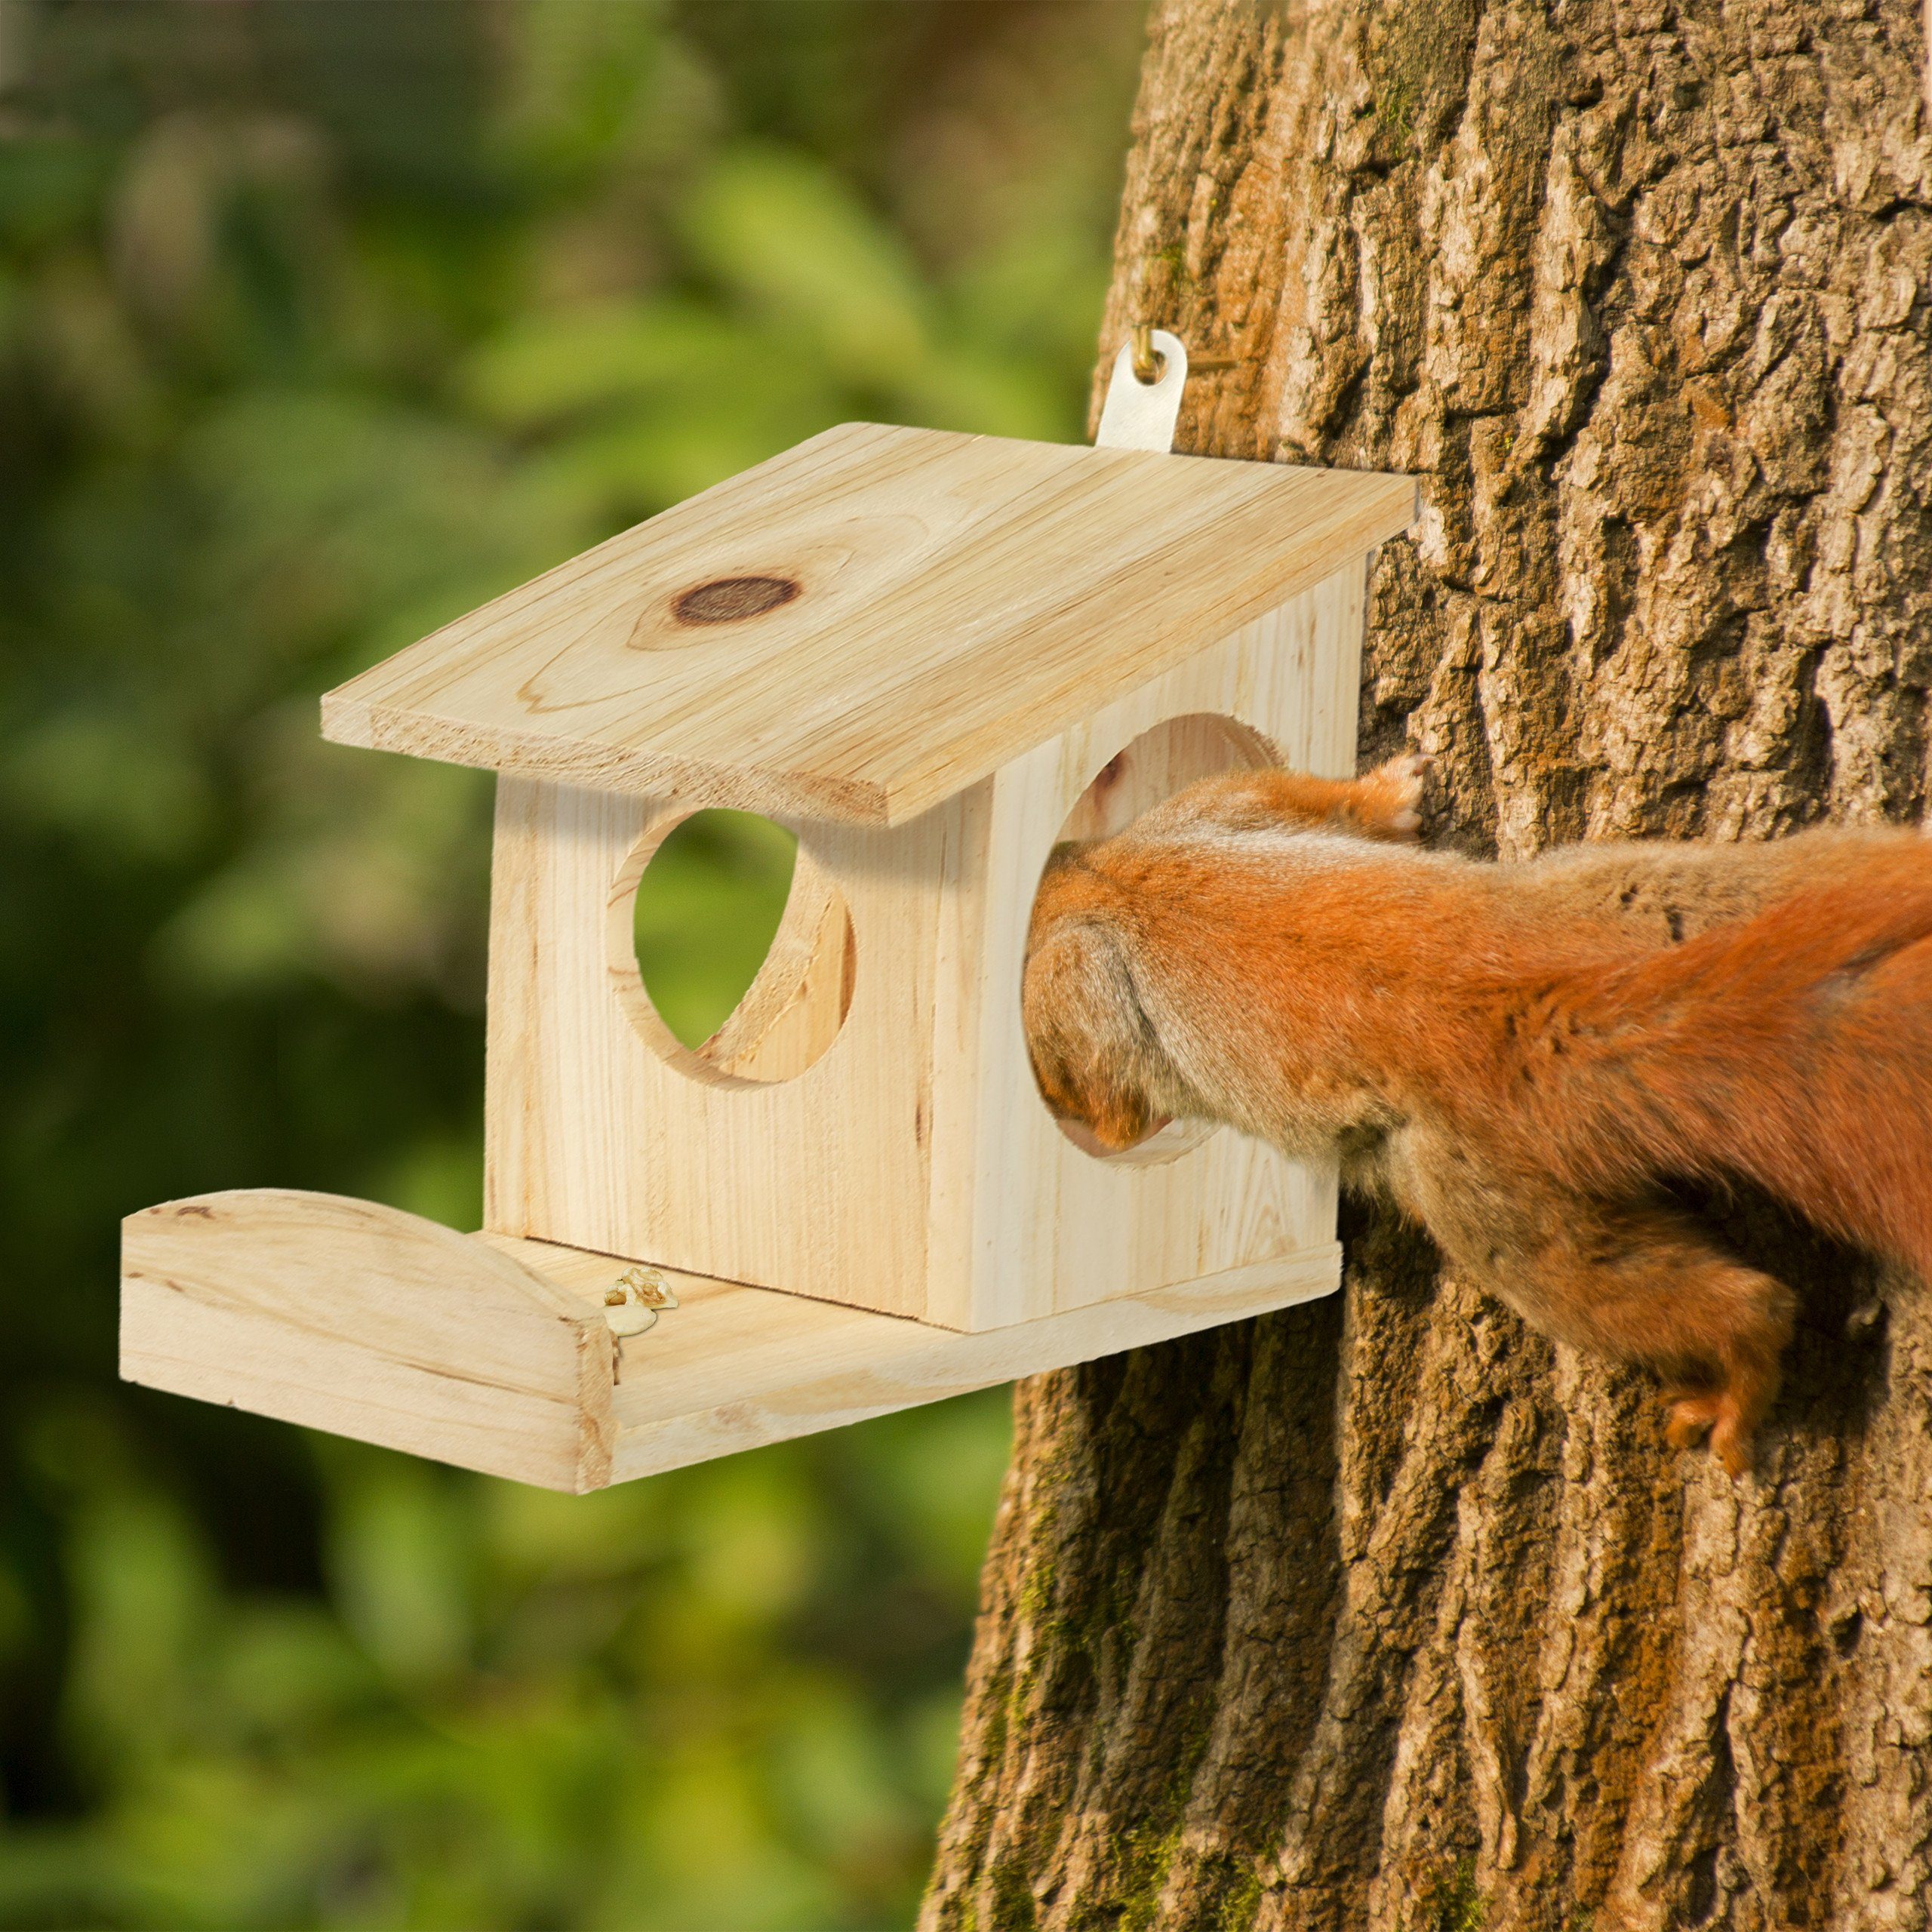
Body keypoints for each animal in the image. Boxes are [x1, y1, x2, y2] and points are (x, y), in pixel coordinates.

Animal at [1027, 757, 1932, 1475]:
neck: (1093, 880)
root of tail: (1531, 1013)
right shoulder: (1209, 816)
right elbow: (1311, 803)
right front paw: (1393, 793)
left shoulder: (1091, 956)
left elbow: (1106, 1097)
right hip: (1678, 896)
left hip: (1480, 1199)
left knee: (1710, 1304)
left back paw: (1737, 1385)